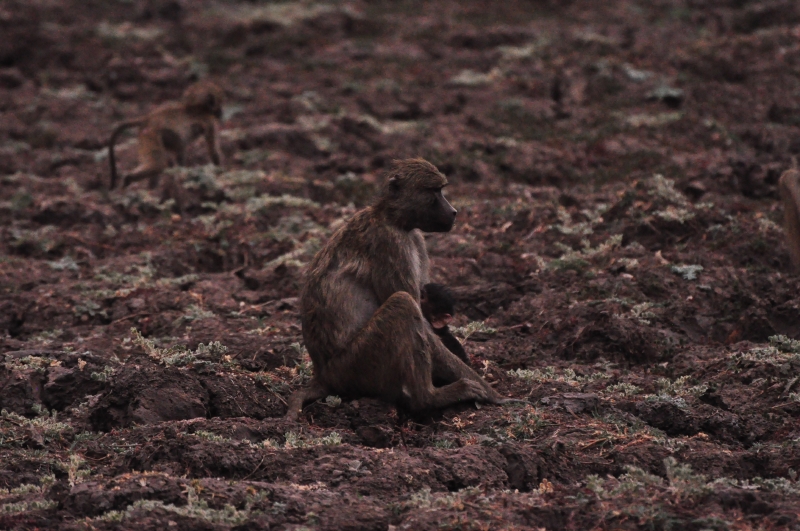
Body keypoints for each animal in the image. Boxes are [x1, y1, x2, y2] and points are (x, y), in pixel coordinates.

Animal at [286, 158, 515, 421]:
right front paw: (492, 393)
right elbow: (420, 319)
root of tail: (322, 376)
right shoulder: (392, 243)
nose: (454, 211)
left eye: (441, 190)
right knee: (403, 304)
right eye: (434, 191)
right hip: (354, 367)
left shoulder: (415, 238)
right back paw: (430, 398)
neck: (392, 218)